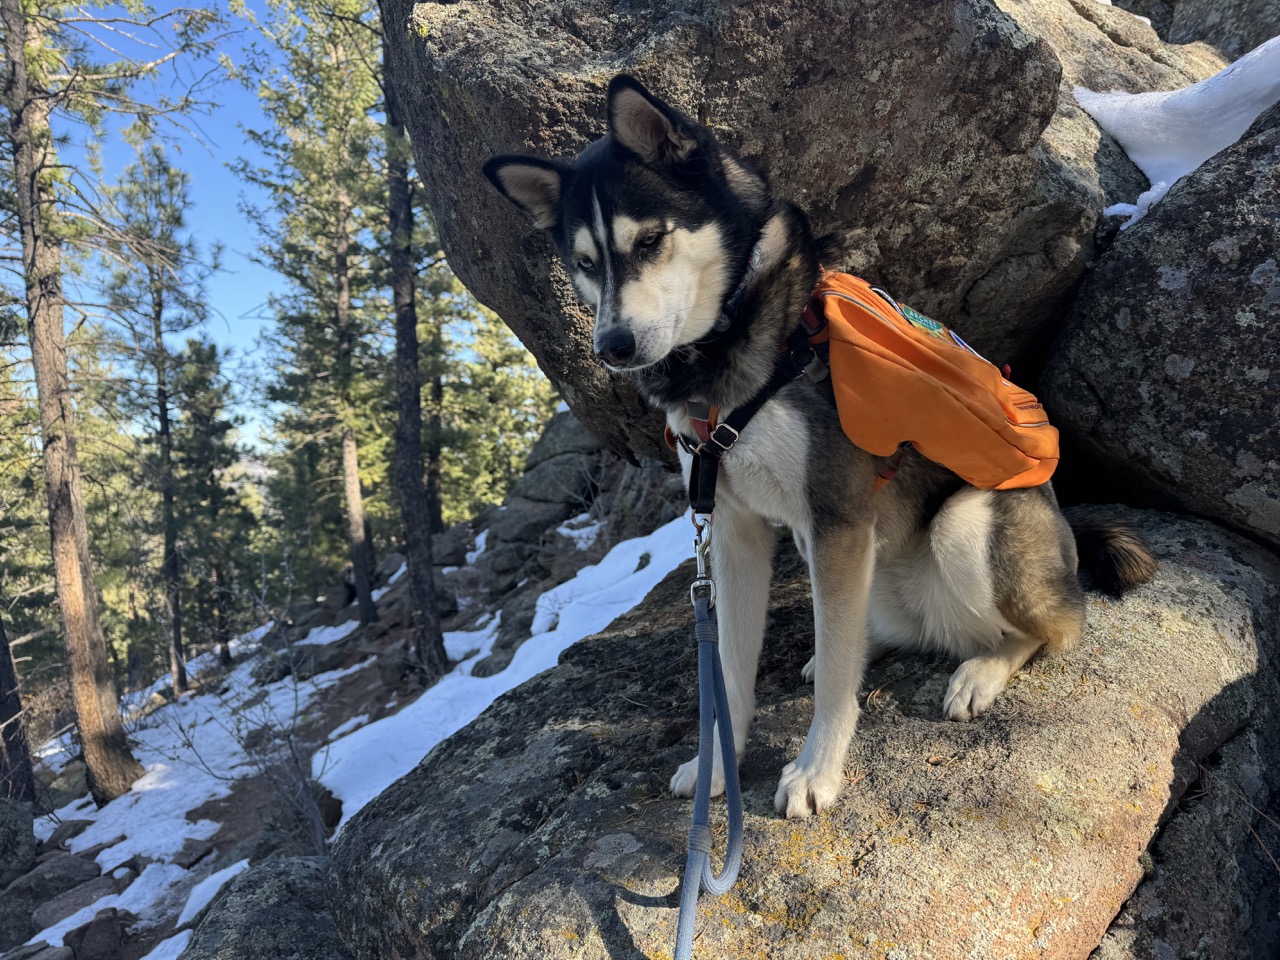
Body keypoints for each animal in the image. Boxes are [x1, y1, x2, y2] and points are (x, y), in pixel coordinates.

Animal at [481, 79, 1162, 824]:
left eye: (651, 239)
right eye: (584, 263)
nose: (613, 347)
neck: (736, 346)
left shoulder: (836, 517)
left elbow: (837, 682)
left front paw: (817, 770)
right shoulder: (736, 528)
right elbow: (730, 664)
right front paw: (719, 761)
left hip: (965, 528)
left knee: (1053, 625)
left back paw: (980, 670)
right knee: (869, 628)